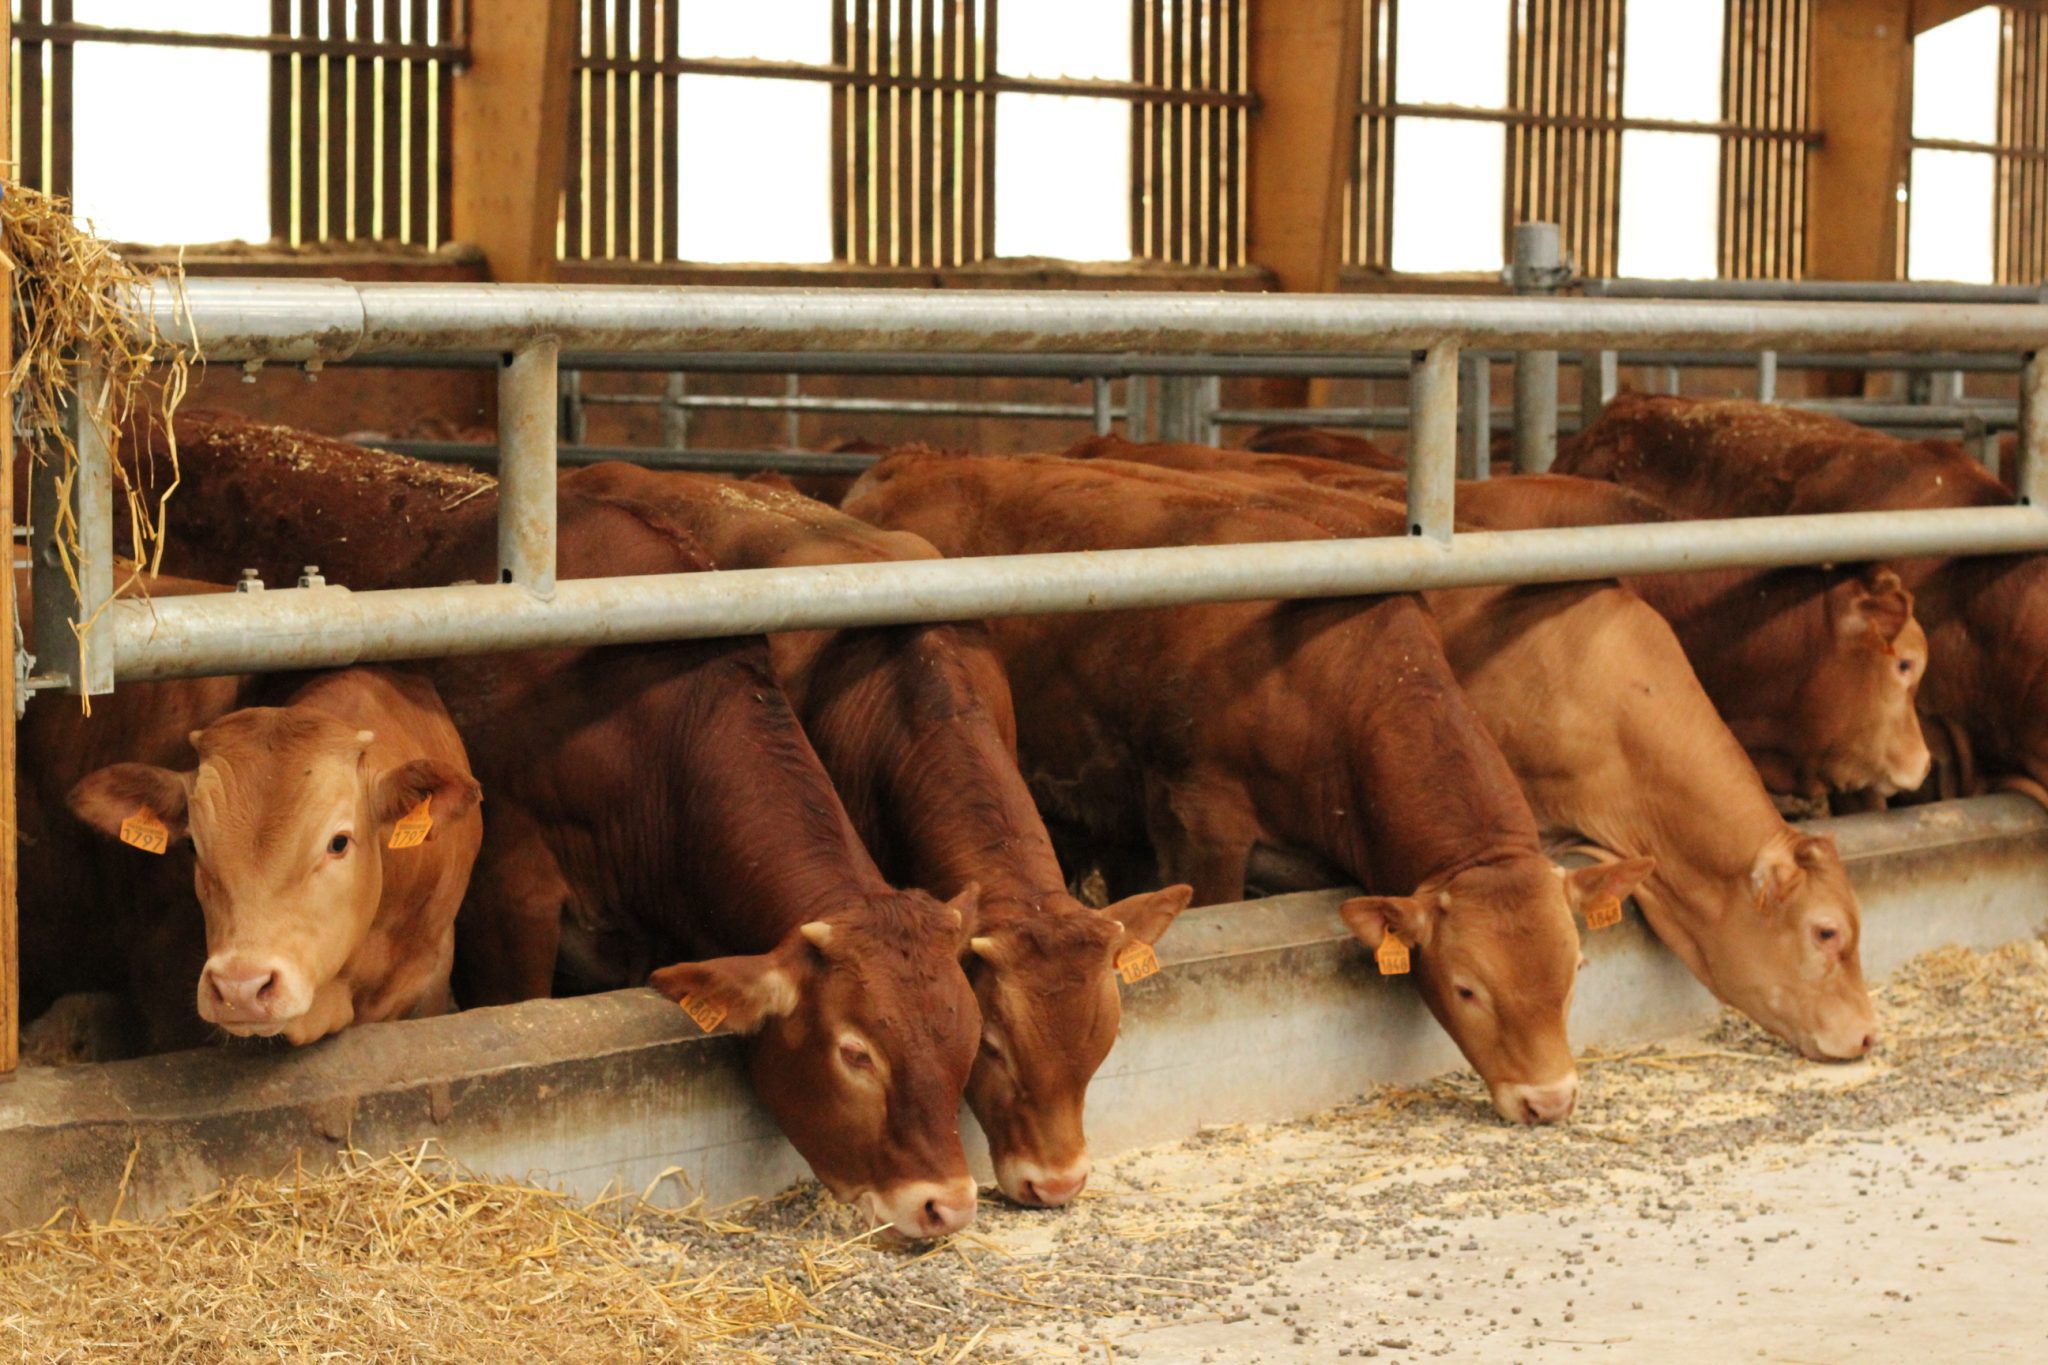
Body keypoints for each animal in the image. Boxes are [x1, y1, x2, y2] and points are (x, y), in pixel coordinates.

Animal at [845, 453, 1655, 1125]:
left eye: (1575, 973)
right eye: (1466, 988)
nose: (1550, 1099)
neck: (1324, 679)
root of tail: (914, 458)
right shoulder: (1200, 823)